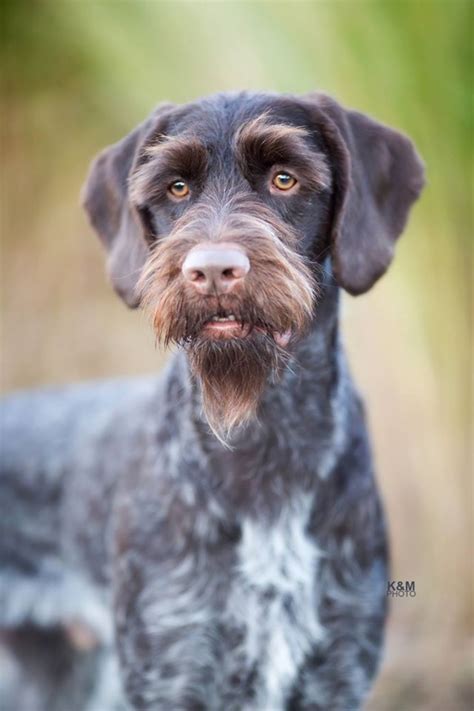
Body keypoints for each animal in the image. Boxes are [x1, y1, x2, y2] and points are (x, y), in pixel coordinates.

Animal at [0, 92, 422, 708]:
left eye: (284, 178)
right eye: (176, 187)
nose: (213, 270)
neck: (264, 436)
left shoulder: (335, 667)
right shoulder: (174, 664)